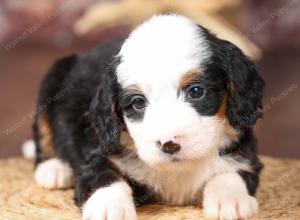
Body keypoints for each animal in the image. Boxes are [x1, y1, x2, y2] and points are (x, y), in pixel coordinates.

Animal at [31, 14, 264, 219]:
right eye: (138, 103)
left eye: (197, 92)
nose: (169, 144)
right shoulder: (102, 151)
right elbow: (104, 176)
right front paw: (108, 206)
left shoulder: (245, 152)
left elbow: (232, 170)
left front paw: (231, 199)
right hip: (53, 77)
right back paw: (53, 168)